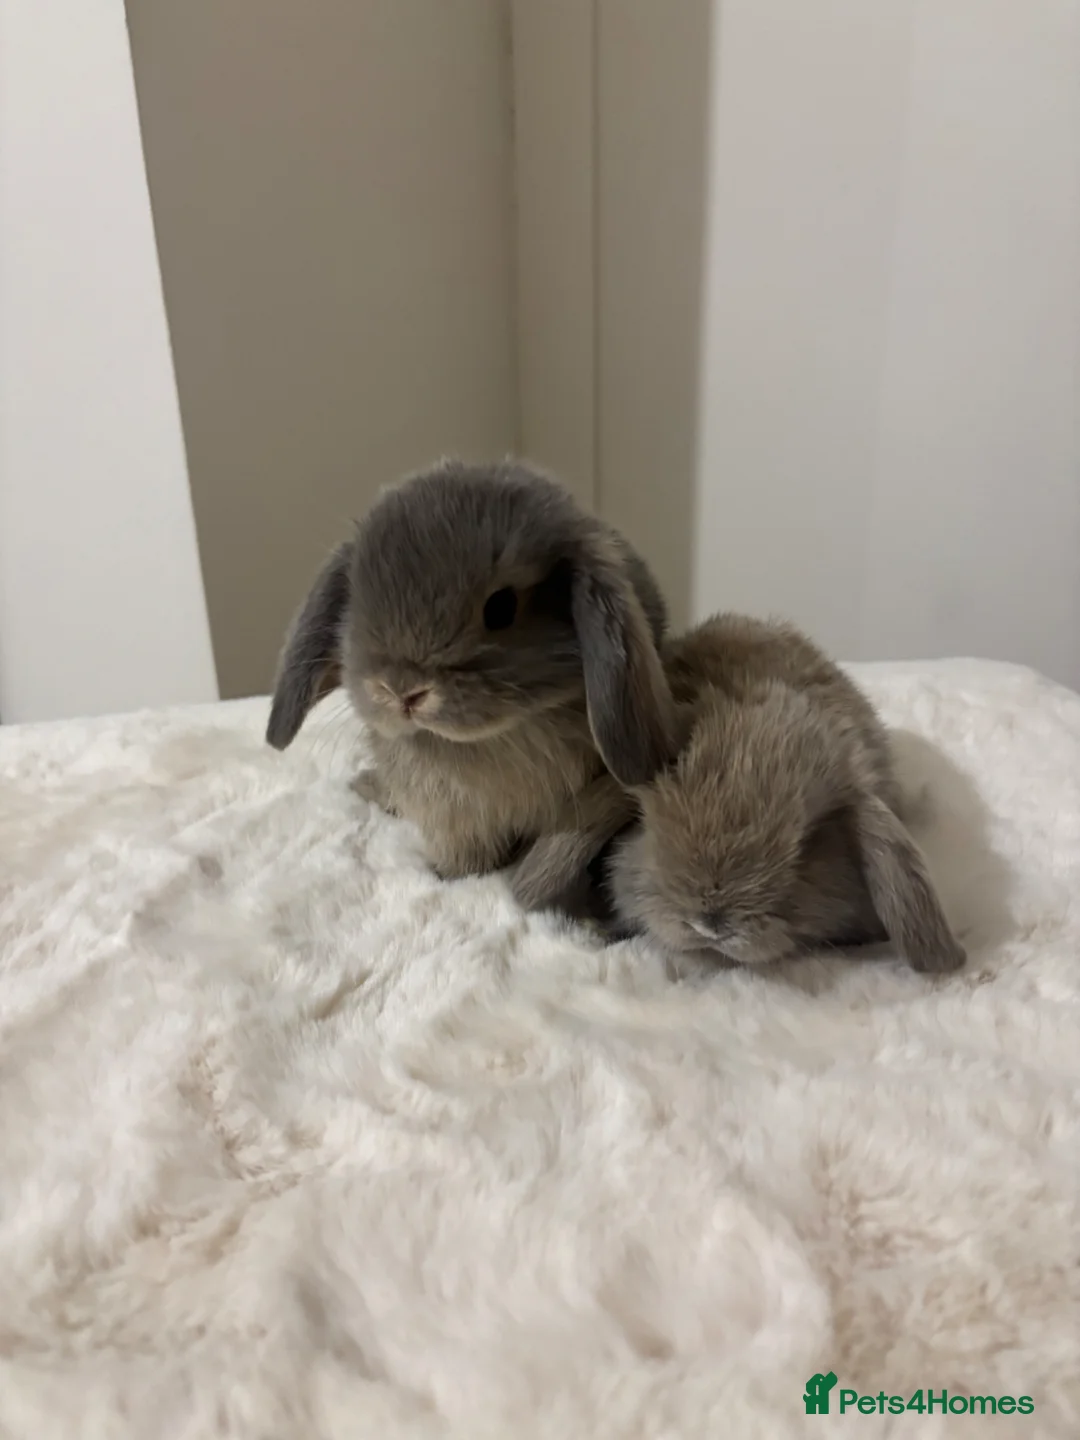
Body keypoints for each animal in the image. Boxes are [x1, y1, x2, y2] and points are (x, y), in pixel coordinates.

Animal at [265, 458, 674, 906]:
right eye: (353, 600)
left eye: (502, 607)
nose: (400, 691)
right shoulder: (453, 822)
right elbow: (466, 861)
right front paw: (448, 876)